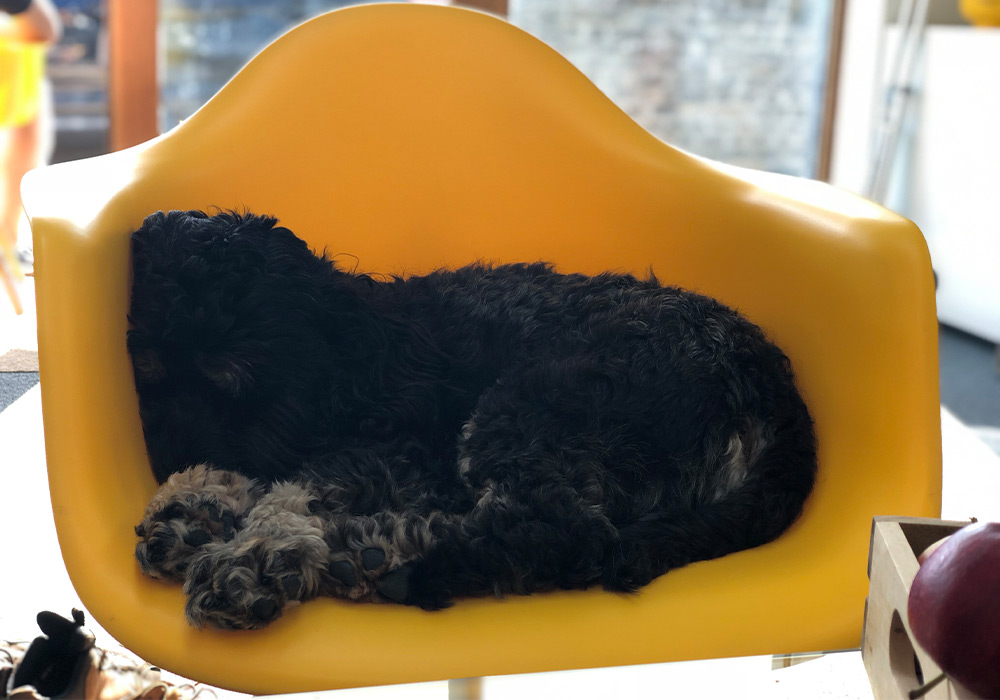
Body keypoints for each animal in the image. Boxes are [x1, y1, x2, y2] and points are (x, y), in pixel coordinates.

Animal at [127, 209, 812, 628]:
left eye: (234, 376)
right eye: (146, 372)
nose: (167, 453)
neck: (351, 349)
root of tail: (777, 391)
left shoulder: (406, 448)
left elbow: (299, 483)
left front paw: (257, 552)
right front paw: (196, 503)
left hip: (538, 404)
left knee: (556, 531)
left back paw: (383, 550)